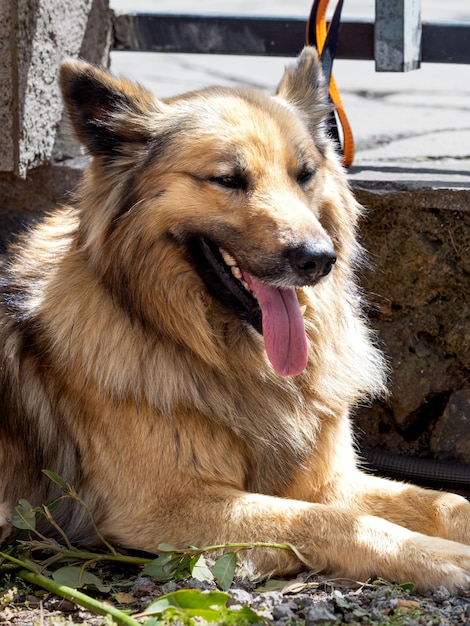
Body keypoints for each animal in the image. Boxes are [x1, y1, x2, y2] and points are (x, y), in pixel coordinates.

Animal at [0, 48, 470, 588]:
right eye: (228, 179)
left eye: (304, 174)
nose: (319, 259)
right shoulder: (166, 506)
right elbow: (330, 520)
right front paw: (440, 556)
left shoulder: (329, 479)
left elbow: (446, 501)